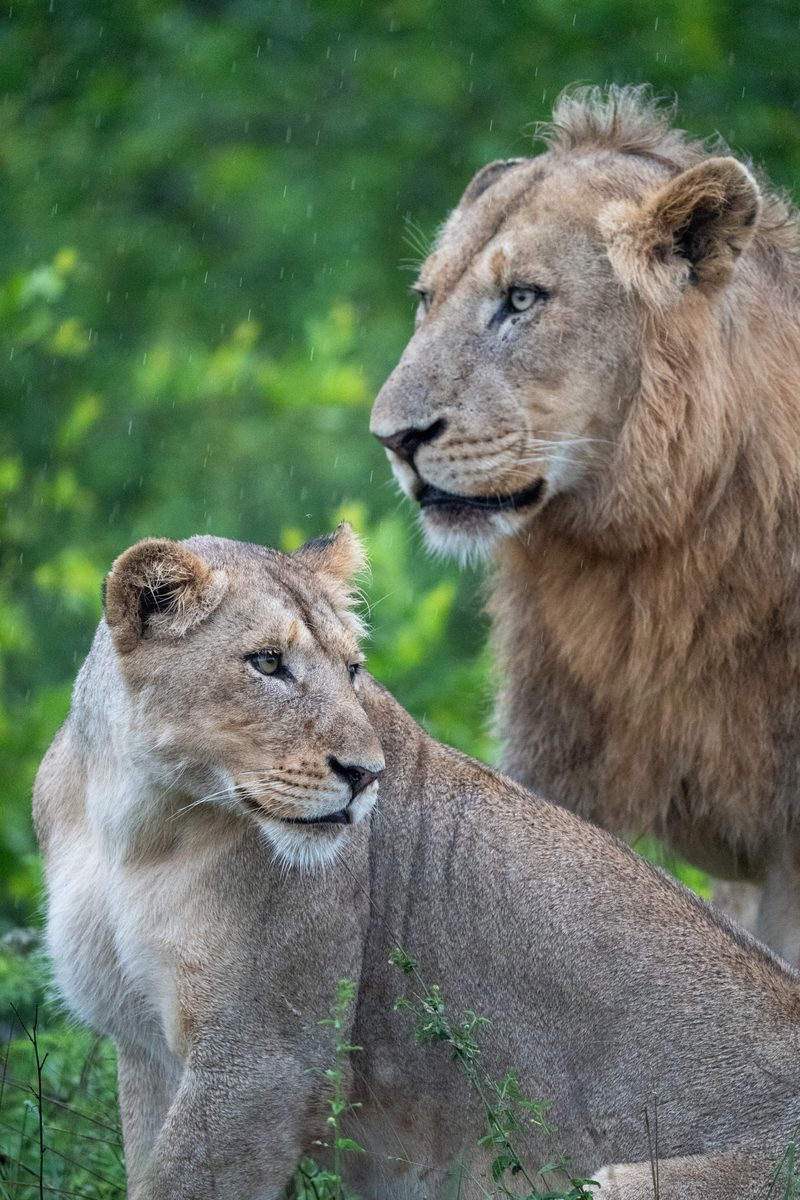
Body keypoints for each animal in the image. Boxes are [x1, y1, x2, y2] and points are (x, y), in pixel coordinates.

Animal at [35, 527, 800, 1199]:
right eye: (267, 663)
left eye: (352, 670)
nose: (365, 774)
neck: (136, 821)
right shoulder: (146, 1049)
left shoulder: (263, 1064)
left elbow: (178, 1181)